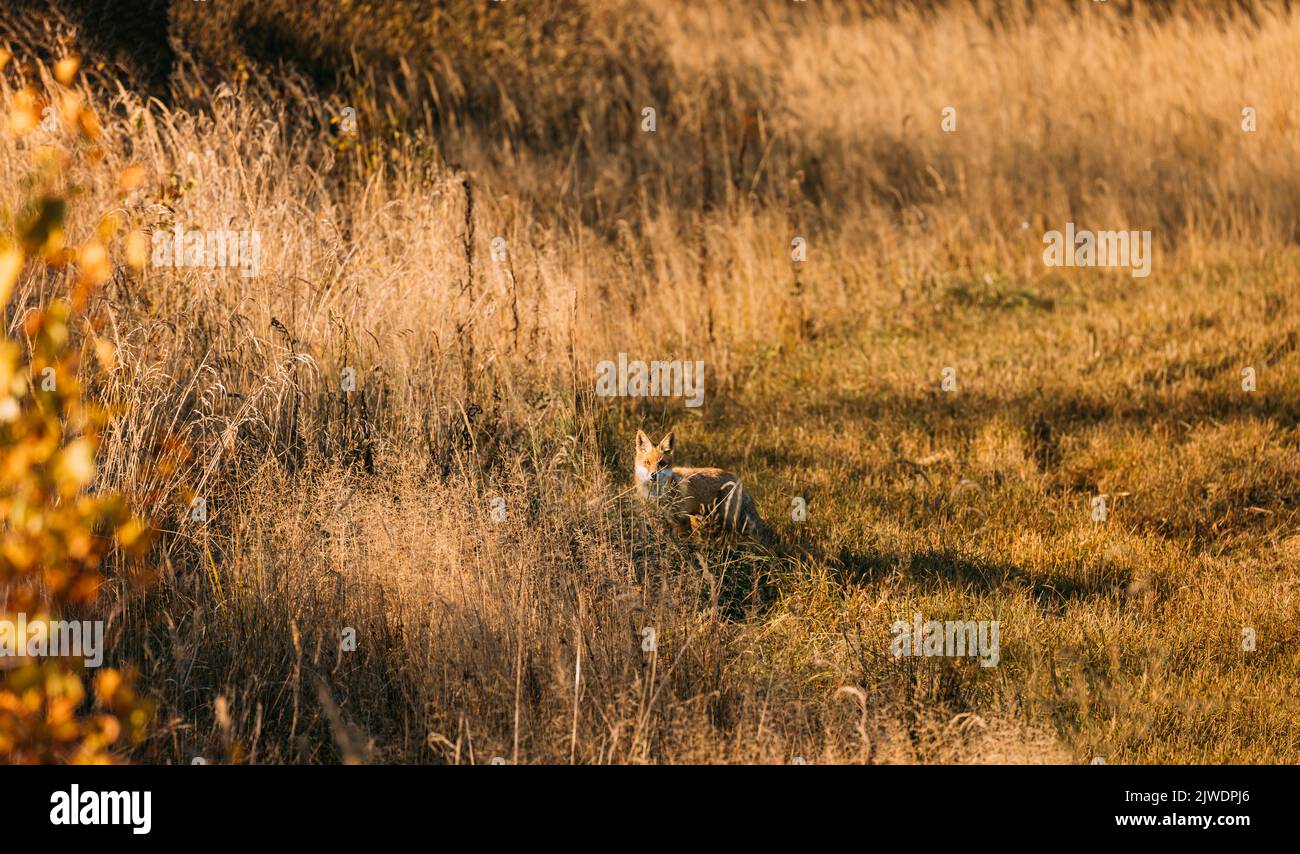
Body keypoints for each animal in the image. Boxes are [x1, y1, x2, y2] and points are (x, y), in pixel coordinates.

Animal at [634, 429, 774, 543]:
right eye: (647, 462)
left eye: (661, 463)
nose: (653, 475)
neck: (656, 495)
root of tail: (737, 479)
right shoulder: (655, 519)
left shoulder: (680, 520)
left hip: (727, 519)